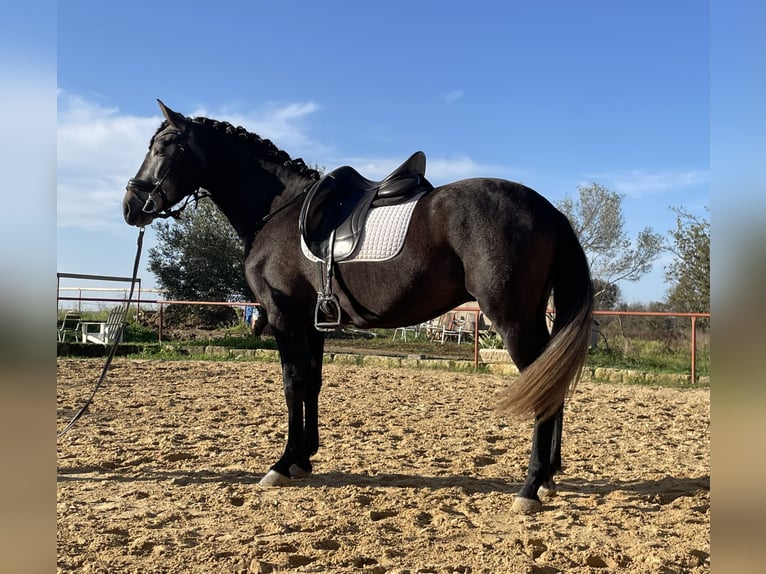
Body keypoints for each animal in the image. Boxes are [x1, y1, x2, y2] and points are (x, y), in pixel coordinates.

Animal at [124, 101, 592, 516]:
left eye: (162, 147)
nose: (130, 206)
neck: (281, 212)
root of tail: (550, 211)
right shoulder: (311, 325)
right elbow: (311, 384)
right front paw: (303, 459)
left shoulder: (284, 319)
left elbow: (292, 385)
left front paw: (282, 463)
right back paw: (547, 478)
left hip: (513, 321)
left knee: (542, 385)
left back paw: (530, 486)